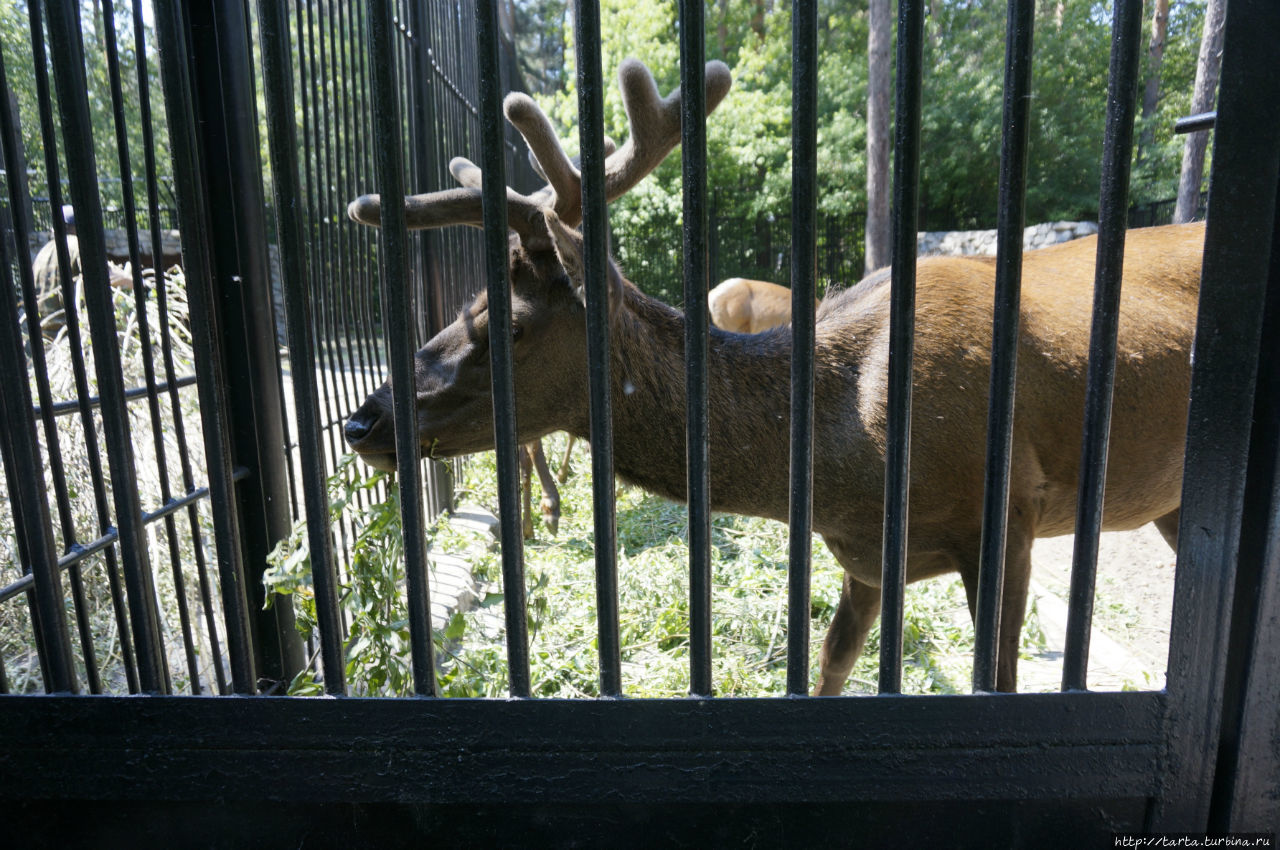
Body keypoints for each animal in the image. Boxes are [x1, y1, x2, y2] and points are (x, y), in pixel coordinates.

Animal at [343, 61, 1198, 696]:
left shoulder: (1009, 513)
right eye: (466, 304)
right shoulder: (865, 554)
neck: (848, 456)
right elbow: (829, 669)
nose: (362, 419)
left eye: (509, 326)